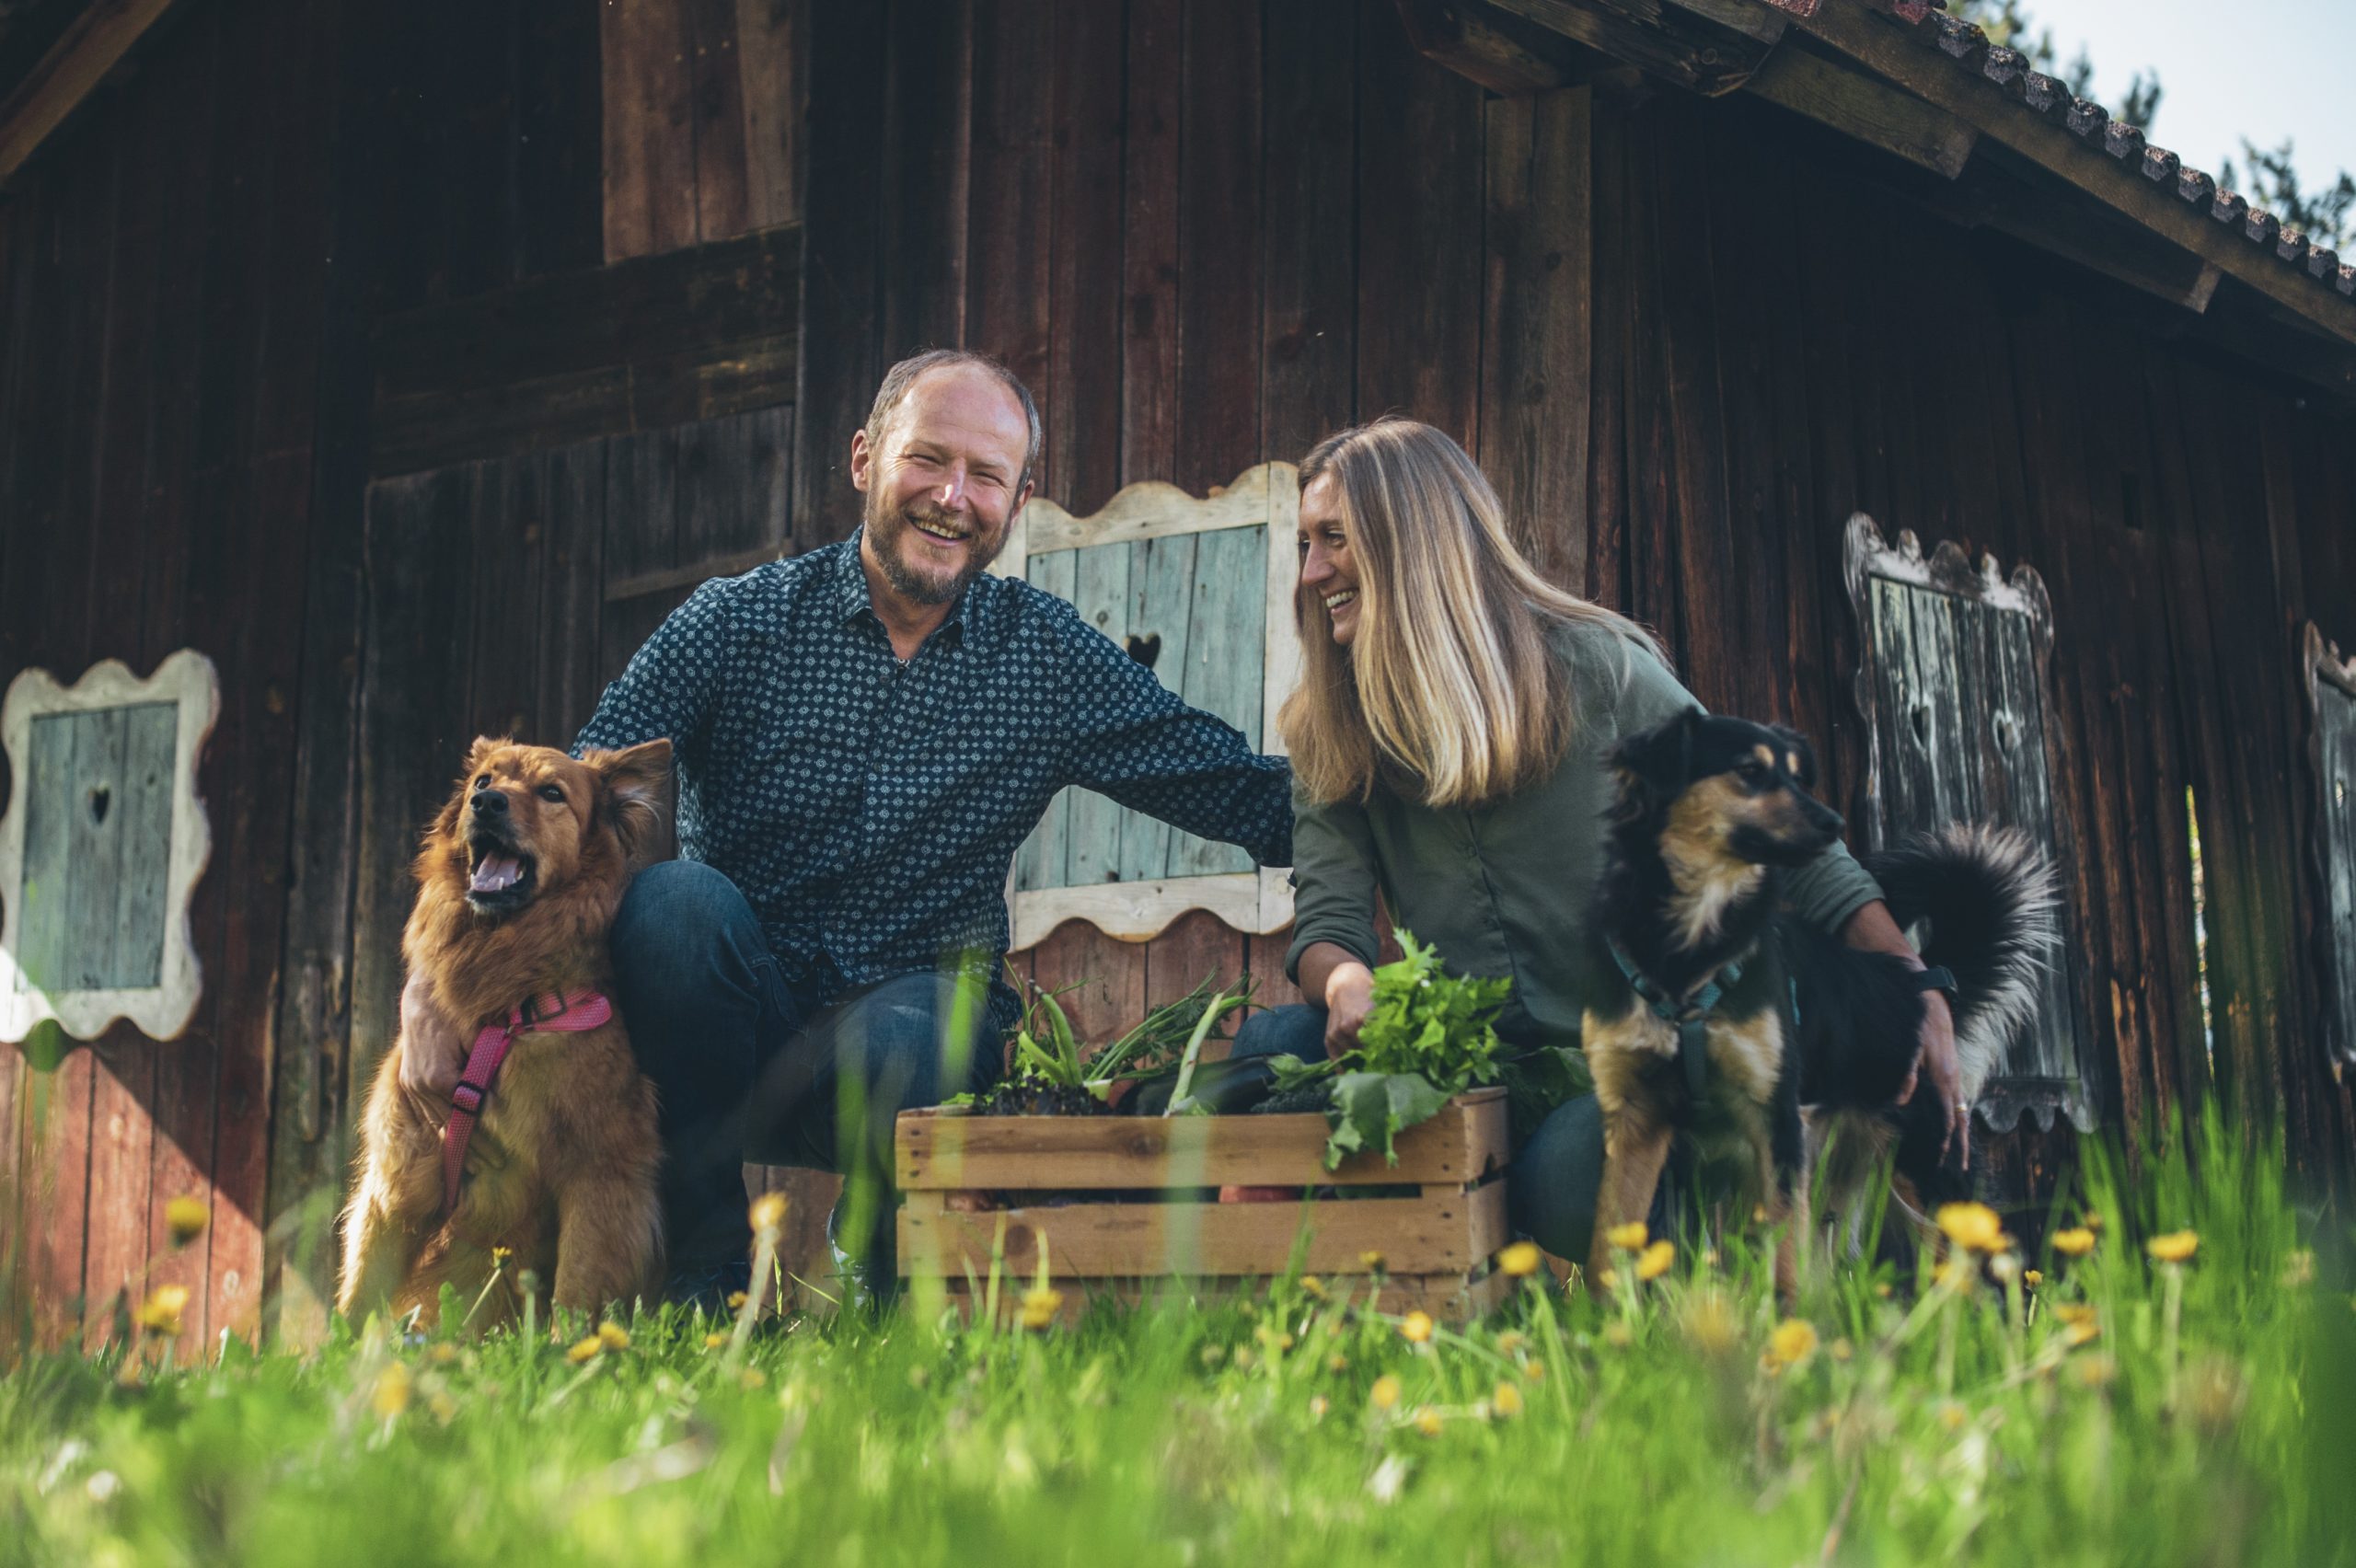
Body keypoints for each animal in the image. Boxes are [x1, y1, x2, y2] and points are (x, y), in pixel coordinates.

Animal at [331, 739, 669, 1328]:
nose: (487, 803)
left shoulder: (602, 1178)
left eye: (552, 793)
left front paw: (565, 1350)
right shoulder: (399, 1177)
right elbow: (358, 1301)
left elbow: (575, 1294)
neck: (506, 1008)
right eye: (483, 780)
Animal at [1574, 710, 2054, 1290]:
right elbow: (1605, 1247)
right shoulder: (1635, 1121)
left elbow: (1783, 1262)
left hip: (1928, 1169)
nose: (1835, 825)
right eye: (1749, 770)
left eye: (1800, 776)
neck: (1688, 948)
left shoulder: (1775, 1120)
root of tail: (1916, 988)